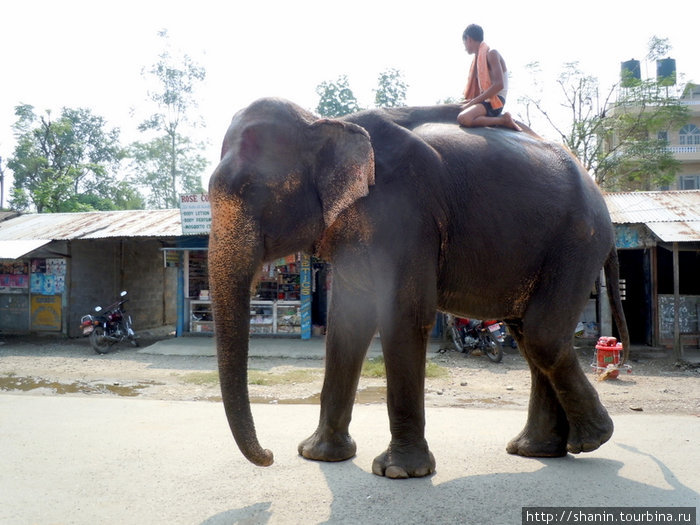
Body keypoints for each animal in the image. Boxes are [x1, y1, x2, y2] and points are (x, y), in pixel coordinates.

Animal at [206, 96, 628, 476]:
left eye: (251, 188)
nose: (269, 456)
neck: (327, 123)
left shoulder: (407, 214)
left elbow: (403, 316)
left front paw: (397, 472)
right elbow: (346, 326)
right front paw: (319, 456)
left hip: (577, 241)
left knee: (542, 336)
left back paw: (592, 439)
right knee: (527, 334)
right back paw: (538, 450)